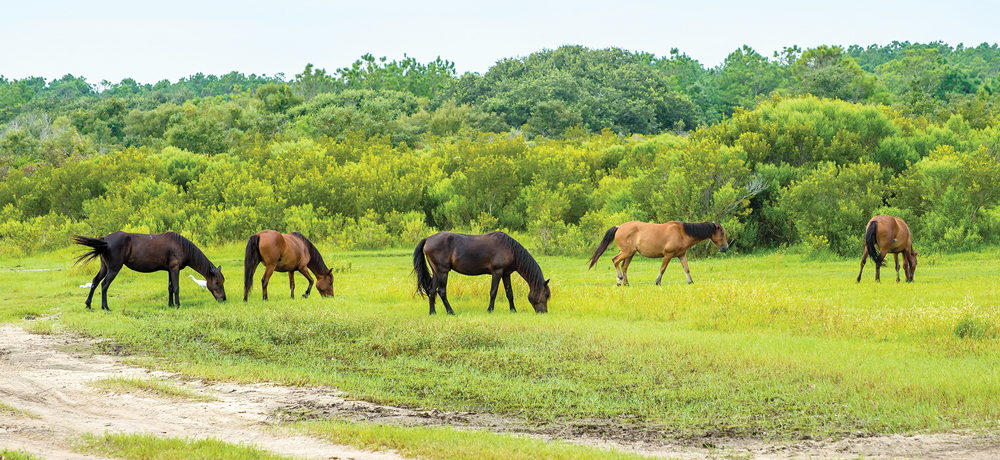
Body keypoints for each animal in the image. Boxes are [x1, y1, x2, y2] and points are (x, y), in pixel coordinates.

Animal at [73, 232, 227, 310]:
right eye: (217, 283)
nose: (224, 299)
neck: (180, 246)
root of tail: (105, 240)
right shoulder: (174, 269)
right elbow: (176, 288)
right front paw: (177, 305)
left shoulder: (169, 270)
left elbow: (170, 288)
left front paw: (170, 305)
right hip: (113, 269)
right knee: (104, 285)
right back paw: (105, 307)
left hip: (104, 267)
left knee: (94, 282)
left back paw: (88, 304)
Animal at [414, 232, 556, 314]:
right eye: (546, 294)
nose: (544, 312)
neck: (510, 249)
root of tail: (427, 239)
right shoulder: (497, 272)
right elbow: (493, 292)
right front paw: (490, 310)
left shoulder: (506, 274)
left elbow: (509, 293)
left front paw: (513, 310)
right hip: (443, 271)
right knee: (442, 291)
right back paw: (450, 312)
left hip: (436, 272)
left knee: (431, 291)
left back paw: (432, 312)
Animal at [584, 221, 736, 286]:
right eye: (722, 233)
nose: (725, 248)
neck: (682, 232)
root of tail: (619, 227)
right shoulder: (668, 255)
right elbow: (662, 269)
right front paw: (657, 282)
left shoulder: (681, 255)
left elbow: (686, 269)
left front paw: (690, 281)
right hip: (627, 252)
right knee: (615, 261)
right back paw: (619, 280)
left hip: (630, 254)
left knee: (624, 266)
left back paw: (625, 283)